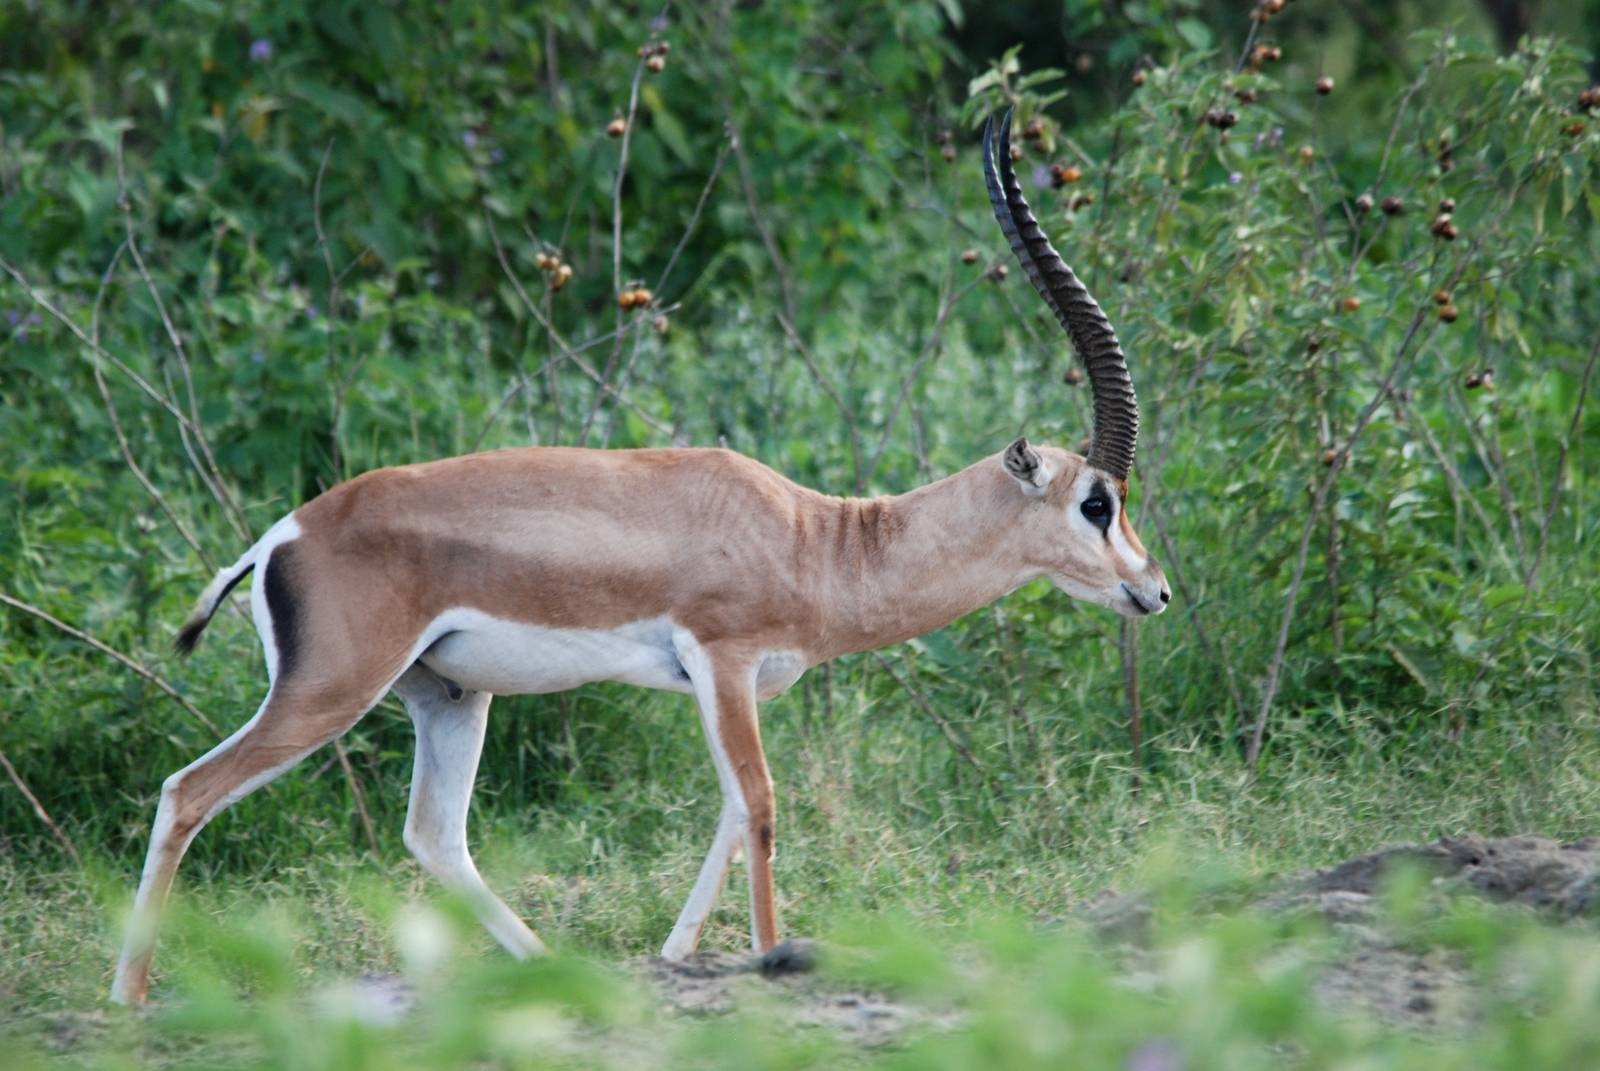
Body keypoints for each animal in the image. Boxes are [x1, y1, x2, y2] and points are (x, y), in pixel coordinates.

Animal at [110, 111, 1169, 1005]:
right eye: (1096, 499)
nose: (1153, 590)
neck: (816, 538)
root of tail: (280, 536)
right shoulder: (723, 659)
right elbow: (761, 804)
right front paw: (771, 956)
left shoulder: (724, 686)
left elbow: (729, 814)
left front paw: (675, 957)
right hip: (329, 691)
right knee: (185, 792)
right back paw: (129, 999)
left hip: (448, 695)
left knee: (434, 836)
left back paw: (550, 967)